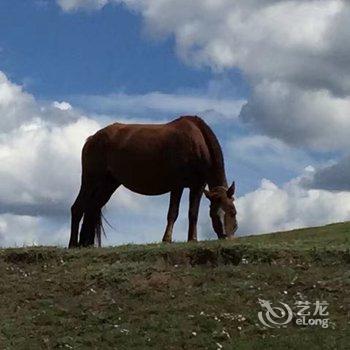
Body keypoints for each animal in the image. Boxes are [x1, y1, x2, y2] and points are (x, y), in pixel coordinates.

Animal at [67, 116, 238, 247]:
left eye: (232, 212)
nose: (225, 236)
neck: (197, 141)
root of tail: (92, 138)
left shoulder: (198, 186)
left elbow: (193, 213)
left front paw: (192, 239)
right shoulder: (177, 185)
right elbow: (173, 213)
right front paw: (167, 239)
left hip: (108, 184)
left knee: (92, 208)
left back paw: (86, 244)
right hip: (90, 180)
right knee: (78, 208)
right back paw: (73, 244)